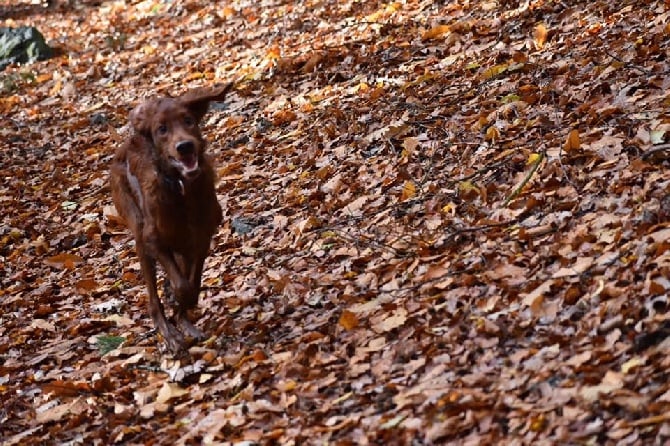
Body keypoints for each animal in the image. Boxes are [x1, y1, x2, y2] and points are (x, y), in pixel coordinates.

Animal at [111, 83, 234, 354]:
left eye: (188, 120)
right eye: (162, 129)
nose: (185, 146)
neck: (181, 188)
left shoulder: (201, 238)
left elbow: (192, 284)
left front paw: (182, 310)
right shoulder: (154, 241)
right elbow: (182, 286)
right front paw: (176, 304)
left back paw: (184, 323)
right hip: (139, 235)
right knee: (153, 301)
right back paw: (170, 334)